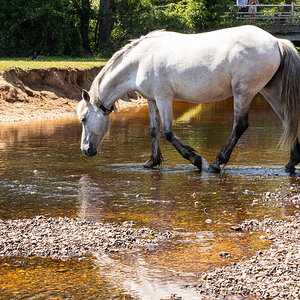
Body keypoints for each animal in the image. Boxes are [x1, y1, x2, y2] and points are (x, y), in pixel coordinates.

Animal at [77, 26, 300, 175]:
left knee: (240, 126)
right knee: (288, 121)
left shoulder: (164, 98)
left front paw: (197, 160)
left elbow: (168, 132)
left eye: (84, 119)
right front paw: (151, 162)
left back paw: (215, 164)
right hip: (271, 92)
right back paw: (291, 163)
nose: (85, 150)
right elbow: (154, 130)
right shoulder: (152, 99)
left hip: (243, 93)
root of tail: (276, 41)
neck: (140, 60)